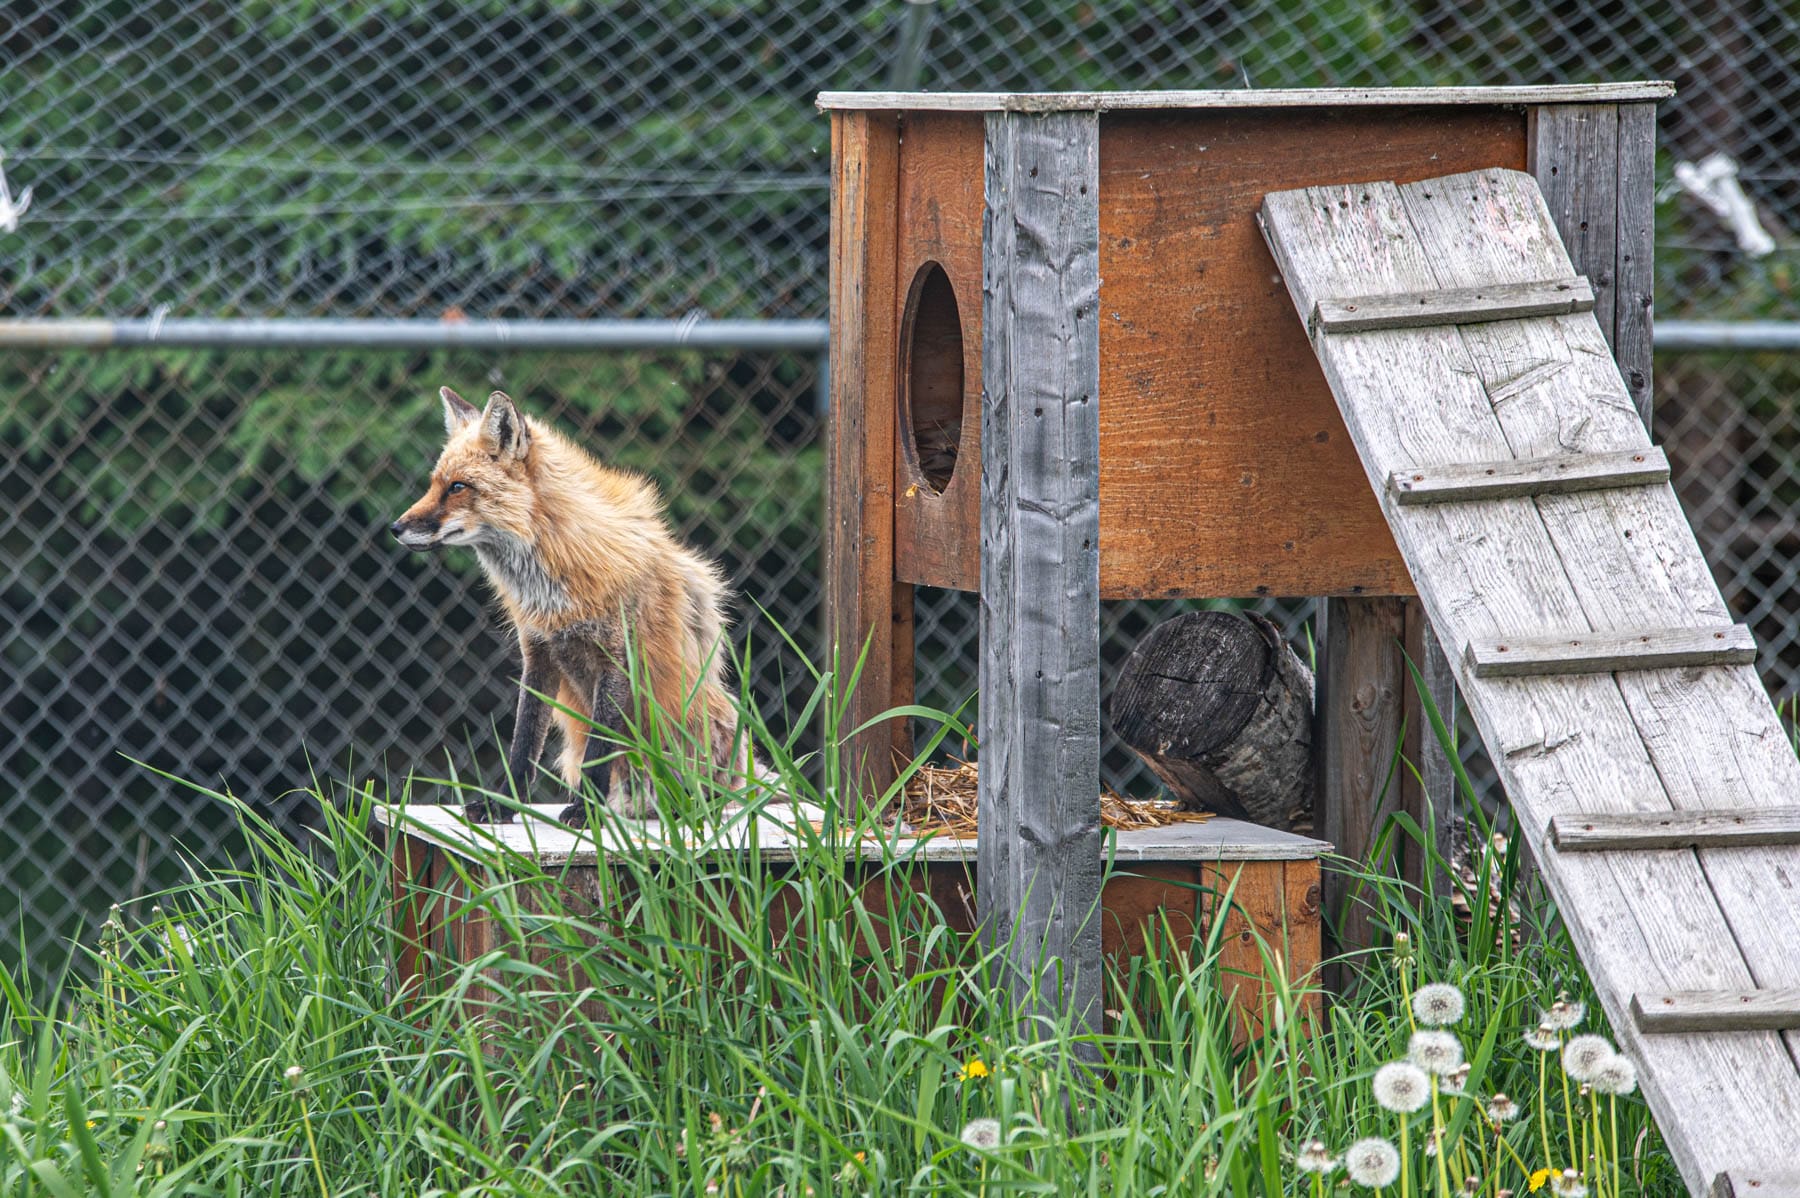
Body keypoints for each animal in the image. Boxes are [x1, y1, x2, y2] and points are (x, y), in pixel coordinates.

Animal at [391, 387, 742, 826]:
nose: (395, 529)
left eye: (457, 487)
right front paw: (502, 804)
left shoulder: (617, 659)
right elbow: (524, 742)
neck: (555, 587)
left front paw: (585, 810)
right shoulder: (538, 653)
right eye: (433, 484)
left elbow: (600, 749)